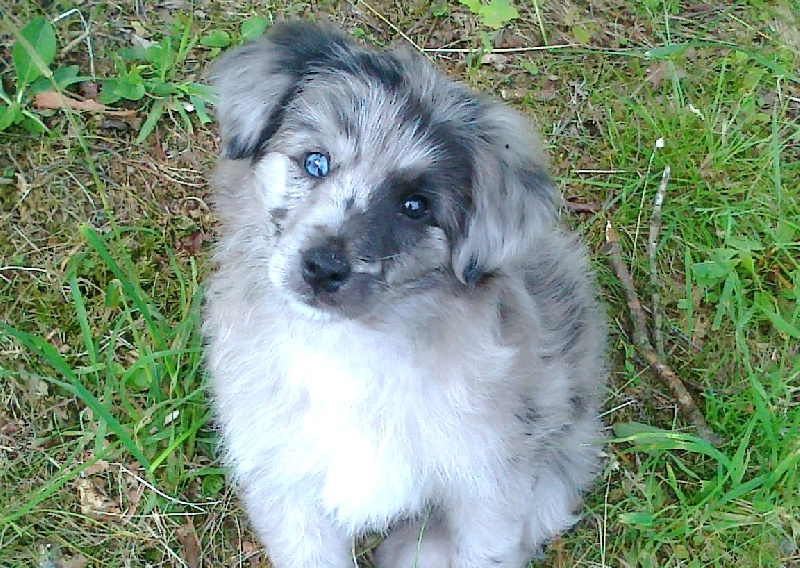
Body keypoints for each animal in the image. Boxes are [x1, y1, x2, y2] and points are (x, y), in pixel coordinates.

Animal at [202, 22, 606, 568]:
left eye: (415, 206)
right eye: (315, 162)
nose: (323, 268)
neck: (349, 350)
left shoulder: (489, 485)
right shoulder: (285, 484)